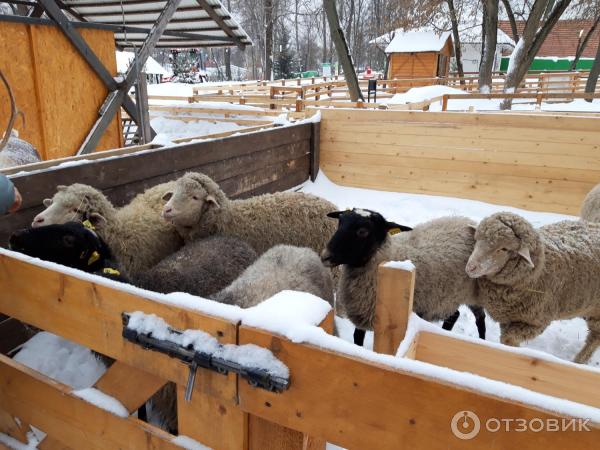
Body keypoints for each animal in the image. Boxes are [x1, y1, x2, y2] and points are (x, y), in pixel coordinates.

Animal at [322, 208, 486, 344]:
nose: (325, 256)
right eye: (340, 221)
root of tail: (467, 221)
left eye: (363, 231)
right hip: (446, 297)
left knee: (480, 319)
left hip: (471, 294)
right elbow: (357, 337)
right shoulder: (363, 310)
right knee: (455, 315)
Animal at [466, 213, 600, 364]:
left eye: (504, 249)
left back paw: (579, 361)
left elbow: (508, 338)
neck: (539, 269)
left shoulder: (536, 323)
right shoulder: (509, 318)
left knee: (595, 337)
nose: (470, 267)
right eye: (477, 239)